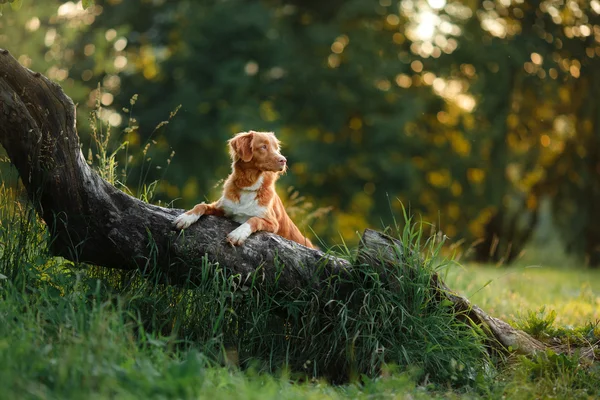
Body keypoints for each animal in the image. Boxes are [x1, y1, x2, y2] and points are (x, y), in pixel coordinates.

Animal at [172, 130, 316, 248]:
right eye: (263, 146)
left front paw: (238, 234)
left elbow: (253, 219)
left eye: (276, 148)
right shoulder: (223, 208)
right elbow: (201, 205)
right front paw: (185, 217)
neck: (249, 186)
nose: (284, 160)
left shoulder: (273, 223)